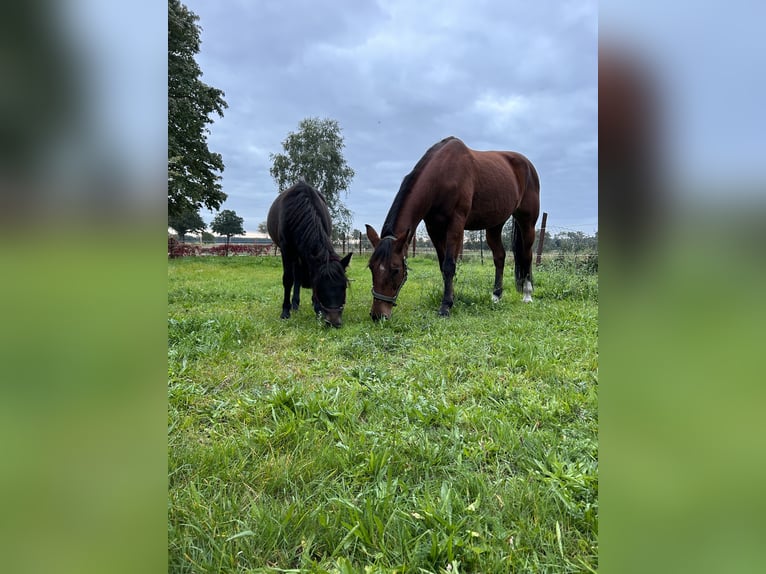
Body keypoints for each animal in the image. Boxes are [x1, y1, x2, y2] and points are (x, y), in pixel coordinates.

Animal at [267, 181, 352, 327]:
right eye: (320, 287)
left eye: (344, 286)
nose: (334, 322)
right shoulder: (286, 249)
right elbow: (288, 279)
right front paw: (285, 311)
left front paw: (317, 309)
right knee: (296, 275)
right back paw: (294, 305)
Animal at [365, 136, 540, 320]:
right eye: (371, 267)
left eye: (396, 270)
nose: (378, 315)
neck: (442, 175)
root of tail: (528, 165)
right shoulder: (433, 228)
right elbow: (443, 265)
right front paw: (452, 298)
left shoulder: (456, 223)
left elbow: (449, 265)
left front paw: (445, 307)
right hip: (494, 224)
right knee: (500, 256)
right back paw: (496, 296)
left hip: (527, 222)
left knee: (527, 255)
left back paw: (527, 294)